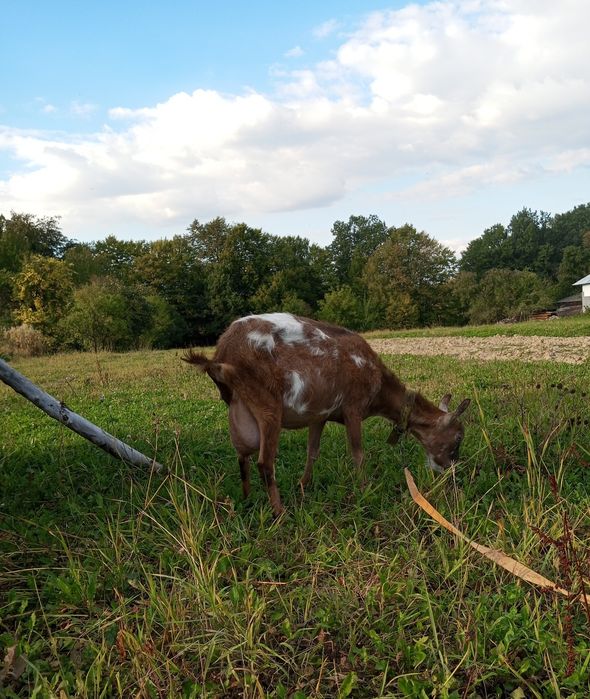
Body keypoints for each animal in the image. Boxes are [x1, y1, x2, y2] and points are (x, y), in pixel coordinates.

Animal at [183, 313, 470, 516]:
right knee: (264, 462)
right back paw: (279, 512)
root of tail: (222, 354)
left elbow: (313, 451)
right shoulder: (353, 407)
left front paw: (303, 484)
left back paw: (247, 499)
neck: (379, 388)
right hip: (266, 404)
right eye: (457, 438)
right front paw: (365, 489)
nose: (452, 471)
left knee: (242, 457)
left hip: (239, 408)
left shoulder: (319, 415)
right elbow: (357, 453)